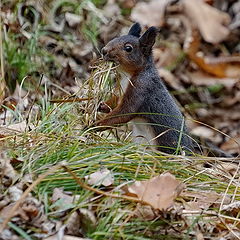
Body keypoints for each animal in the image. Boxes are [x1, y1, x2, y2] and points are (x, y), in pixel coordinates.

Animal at [94, 22, 192, 154]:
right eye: (116, 37)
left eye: (128, 48)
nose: (104, 51)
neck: (128, 75)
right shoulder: (121, 90)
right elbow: (115, 101)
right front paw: (102, 105)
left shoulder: (141, 89)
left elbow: (124, 113)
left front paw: (95, 125)